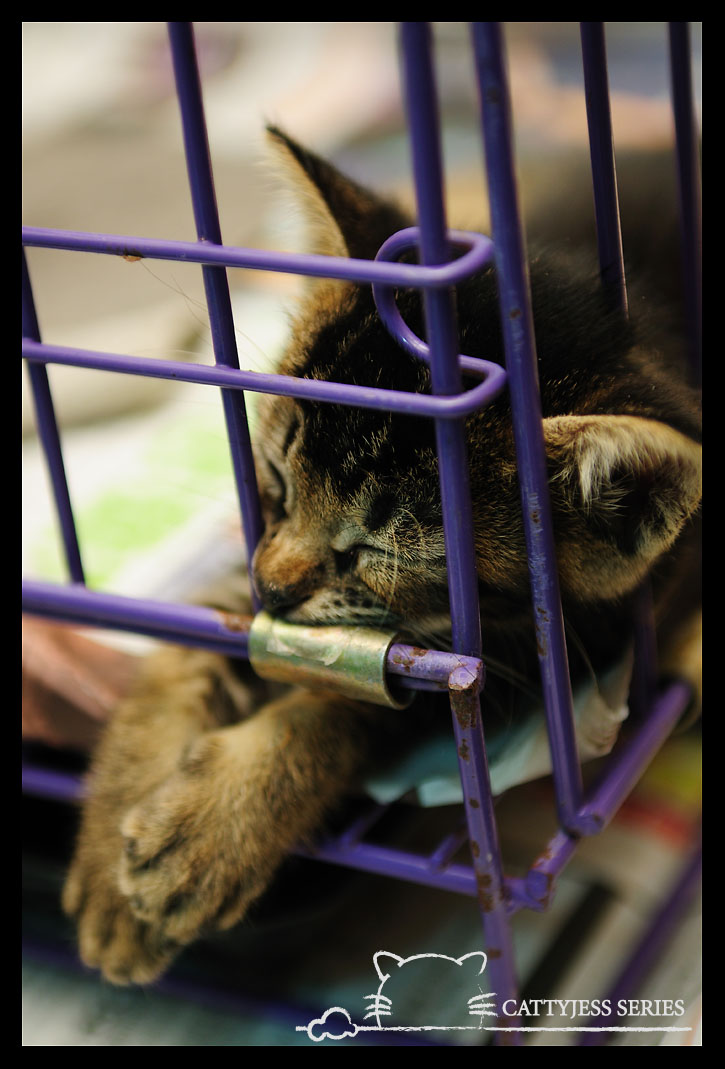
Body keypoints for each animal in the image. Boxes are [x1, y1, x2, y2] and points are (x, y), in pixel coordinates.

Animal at [61, 127, 702, 985]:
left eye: (372, 551)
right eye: (277, 477)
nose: (272, 588)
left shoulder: (533, 664)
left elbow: (354, 701)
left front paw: (214, 827)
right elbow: (184, 655)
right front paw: (108, 867)